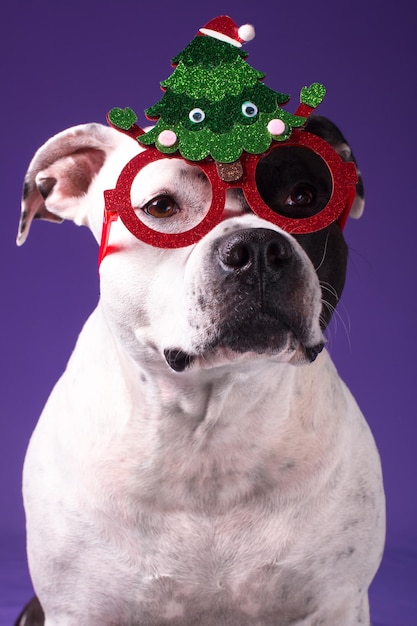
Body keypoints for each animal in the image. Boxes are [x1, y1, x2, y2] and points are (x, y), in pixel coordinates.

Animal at [17, 114, 384, 620]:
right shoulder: (78, 609)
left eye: (304, 197)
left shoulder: (339, 602)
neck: (209, 428)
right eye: (160, 206)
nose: (257, 248)